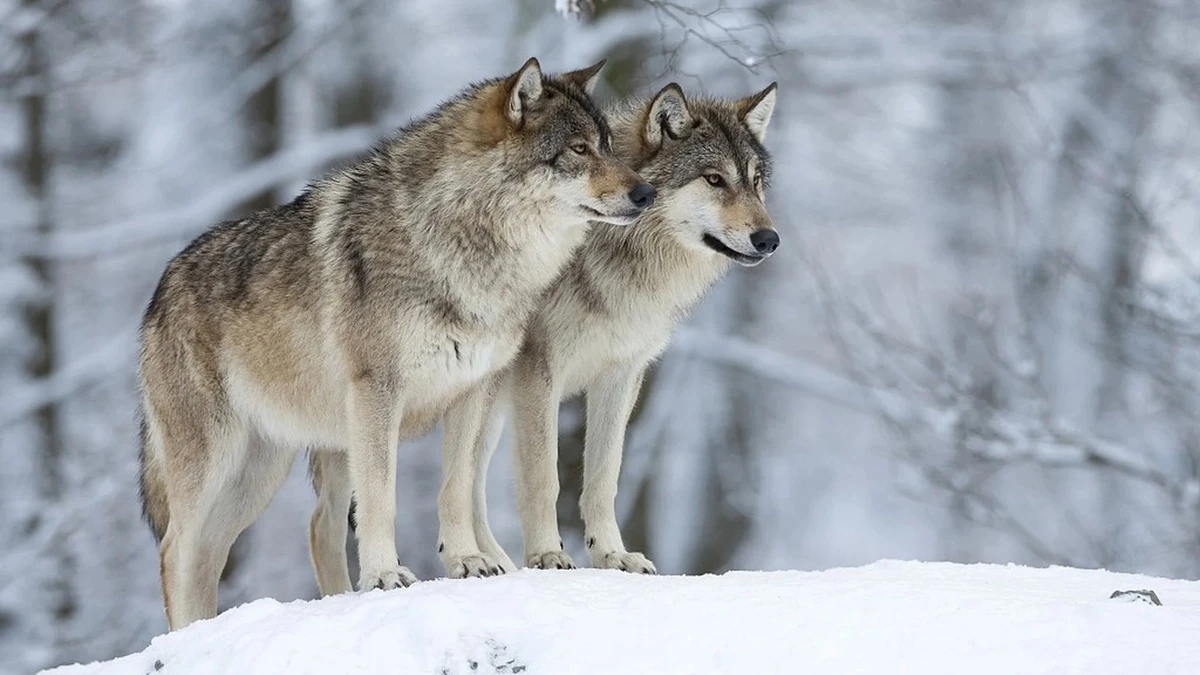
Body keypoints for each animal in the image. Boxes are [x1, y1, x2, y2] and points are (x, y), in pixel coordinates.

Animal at [138, 57, 654, 629]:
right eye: (579, 150)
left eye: (607, 145)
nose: (646, 194)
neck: (460, 242)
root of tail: (160, 289)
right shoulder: (377, 392)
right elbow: (381, 497)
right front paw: (386, 575)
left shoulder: (472, 390)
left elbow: (455, 489)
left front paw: (467, 561)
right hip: (217, 464)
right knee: (175, 552)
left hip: (260, 473)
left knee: (234, 548)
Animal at [308, 82, 778, 586]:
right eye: (714, 180)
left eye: (755, 182)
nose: (769, 239)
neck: (616, 259)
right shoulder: (539, 372)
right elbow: (543, 477)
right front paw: (549, 556)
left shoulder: (622, 376)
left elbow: (603, 478)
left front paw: (612, 556)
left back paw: (494, 563)